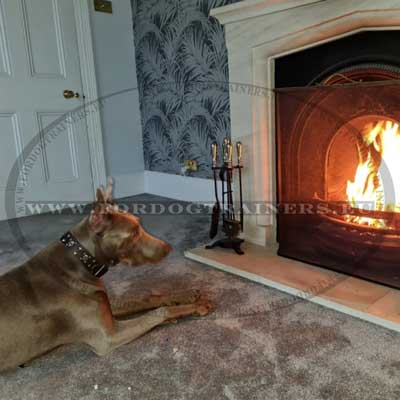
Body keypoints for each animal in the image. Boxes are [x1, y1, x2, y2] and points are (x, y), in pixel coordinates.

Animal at [0, 180, 212, 370]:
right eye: (134, 233)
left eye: (139, 225)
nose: (168, 248)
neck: (78, 262)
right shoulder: (109, 337)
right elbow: (159, 312)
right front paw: (194, 307)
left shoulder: (106, 304)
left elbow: (144, 299)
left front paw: (184, 295)